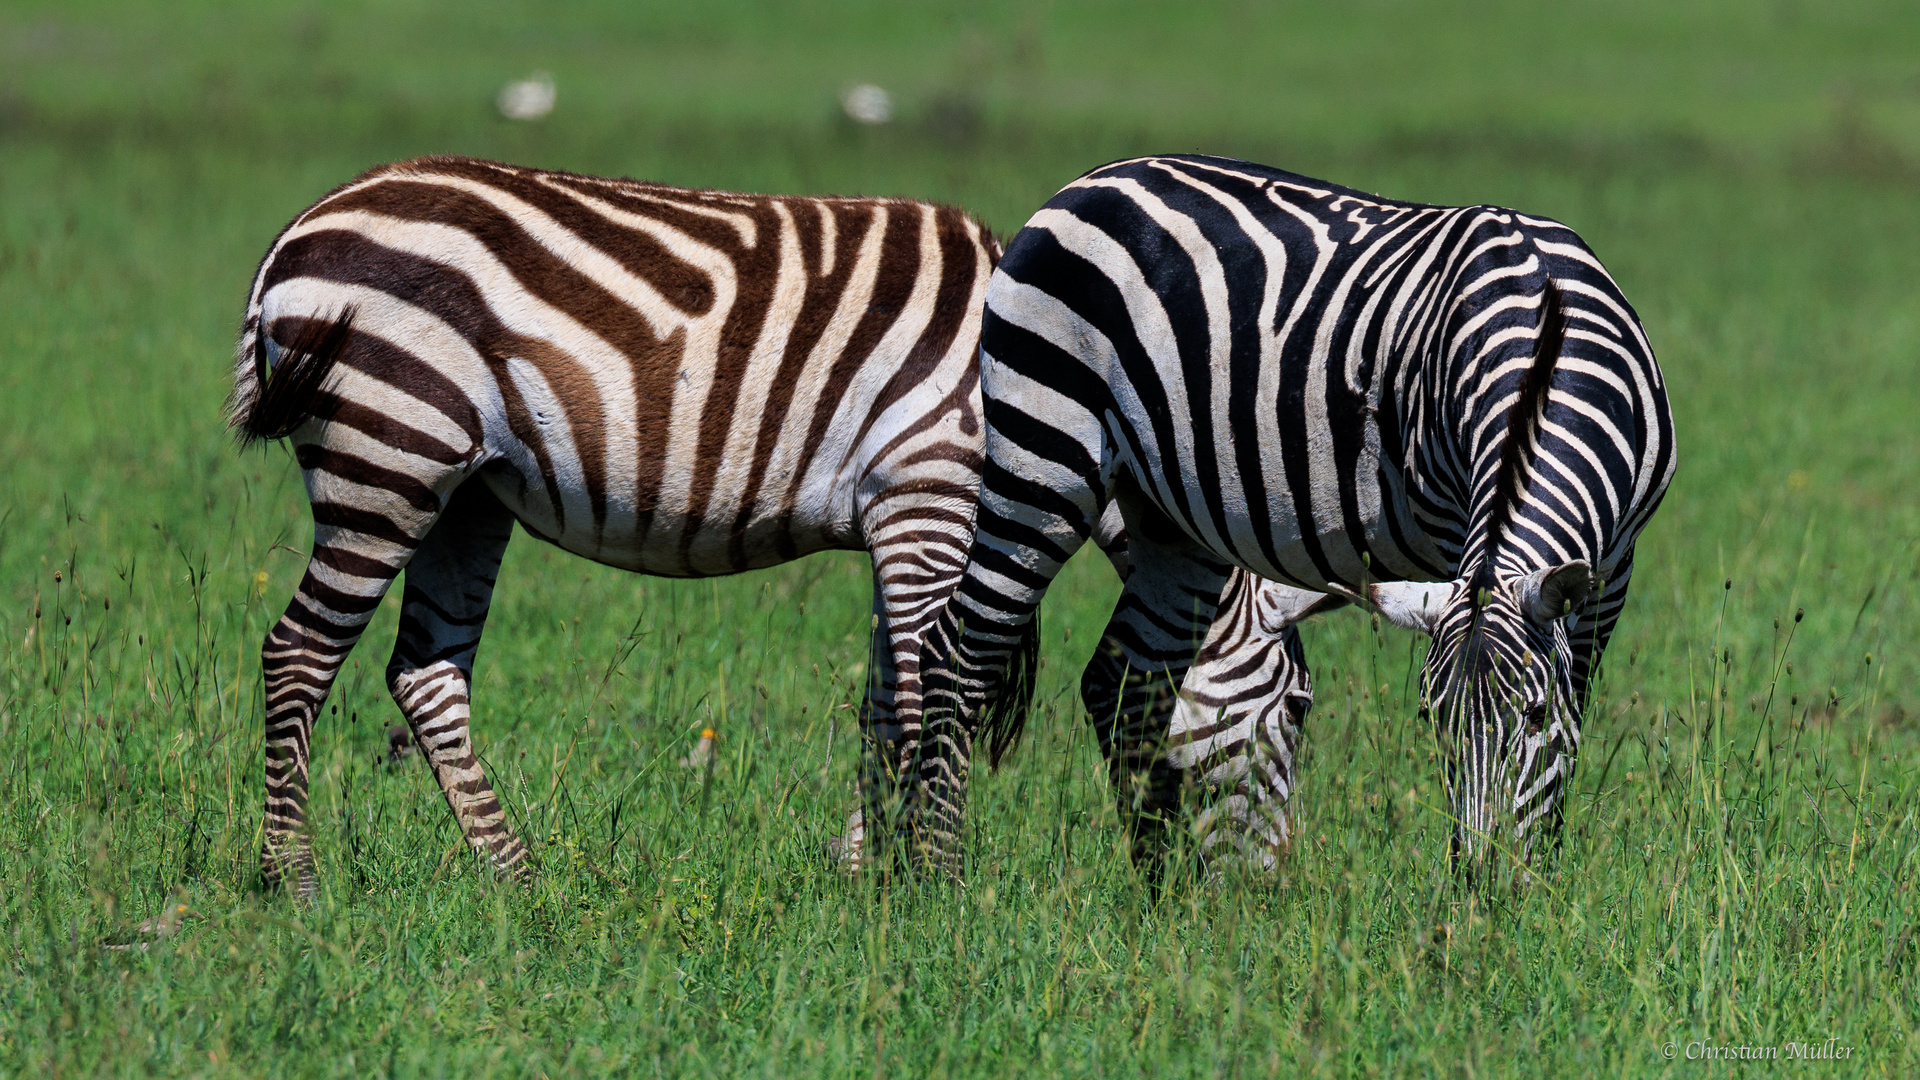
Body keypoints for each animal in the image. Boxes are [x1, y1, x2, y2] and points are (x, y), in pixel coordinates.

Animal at [228, 153, 1320, 891]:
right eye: (1303, 712)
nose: (1265, 899)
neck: (1072, 387)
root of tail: (298, 229)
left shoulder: (901, 517)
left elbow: (884, 704)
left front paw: (860, 880)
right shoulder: (931, 496)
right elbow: (927, 698)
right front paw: (920, 884)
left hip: (465, 491)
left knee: (426, 673)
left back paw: (519, 878)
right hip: (390, 448)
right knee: (299, 653)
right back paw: (295, 879)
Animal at [921, 153, 1674, 876]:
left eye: (1534, 712)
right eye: (1429, 719)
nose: (1480, 883)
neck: (1544, 343)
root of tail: (1085, 183)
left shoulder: (1615, 564)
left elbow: (1575, 705)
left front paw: (1542, 868)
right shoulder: (1457, 534)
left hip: (1171, 519)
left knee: (1126, 683)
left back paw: (1163, 892)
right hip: (1042, 455)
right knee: (958, 656)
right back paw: (932, 877)